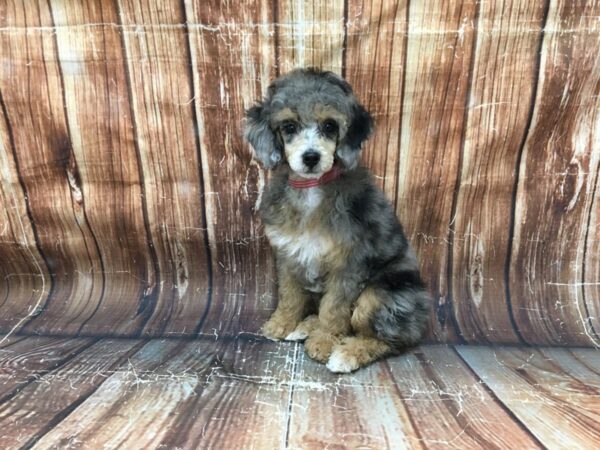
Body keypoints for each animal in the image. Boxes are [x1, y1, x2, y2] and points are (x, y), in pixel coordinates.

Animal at [244, 67, 432, 372]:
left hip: (382, 296)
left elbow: (334, 309)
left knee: (390, 340)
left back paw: (347, 353)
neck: (312, 189)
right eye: (289, 127)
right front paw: (281, 324)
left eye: (330, 126)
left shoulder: (348, 265)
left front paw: (324, 342)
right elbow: (290, 295)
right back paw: (304, 326)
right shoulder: (288, 255)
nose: (310, 157)